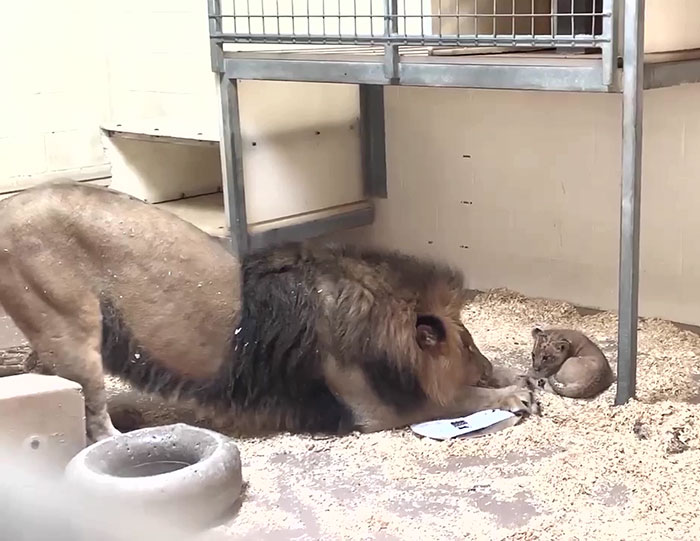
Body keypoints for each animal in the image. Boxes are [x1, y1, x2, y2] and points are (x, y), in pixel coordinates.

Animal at [0, 184, 532, 440]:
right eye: (467, 344)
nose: (483, 361)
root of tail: (10, 209)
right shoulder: (374, 409)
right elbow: (457, 399)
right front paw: (510, 395)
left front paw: (514, 374)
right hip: (74, 332)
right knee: (92, 417)